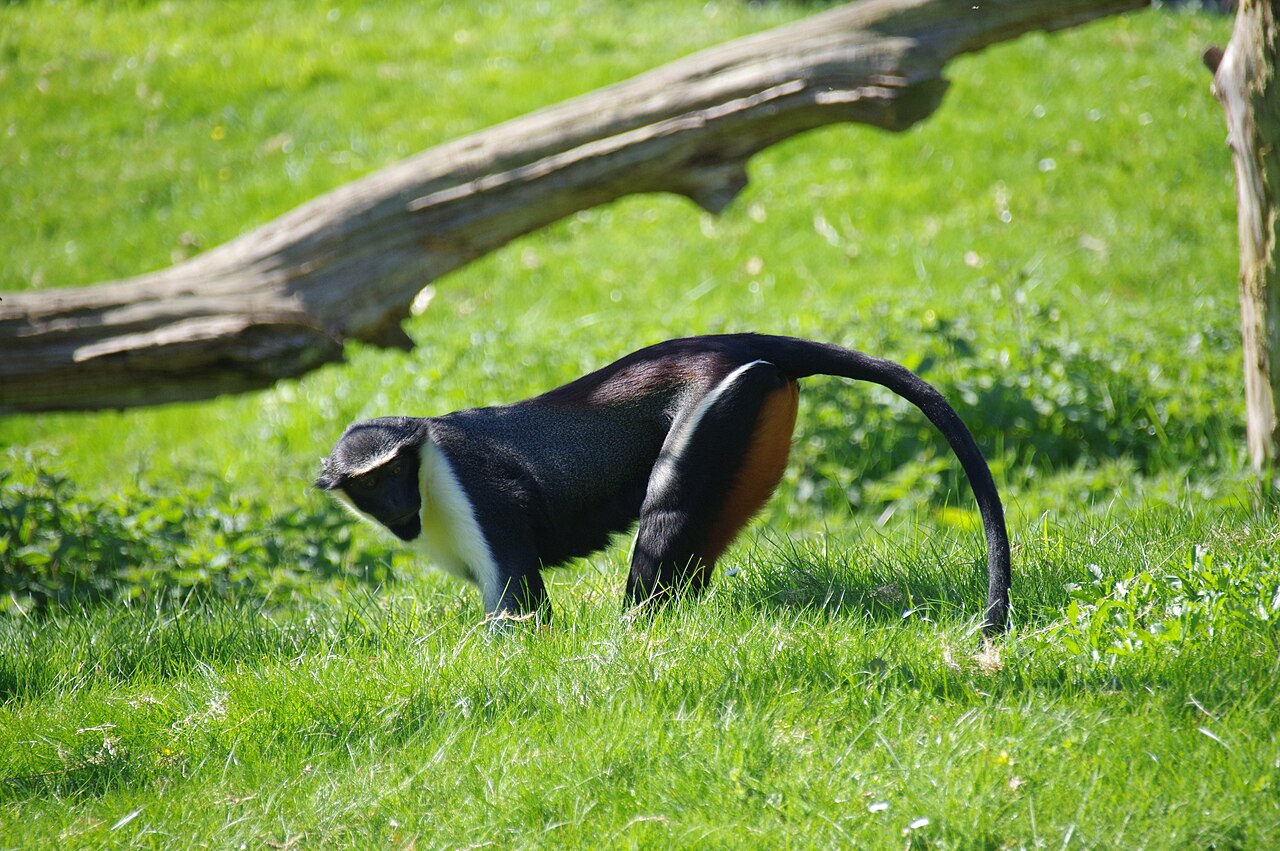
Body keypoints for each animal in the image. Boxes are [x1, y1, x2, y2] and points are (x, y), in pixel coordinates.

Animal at [315, 334, 1012, 633]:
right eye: (370, 484)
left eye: (395, 470)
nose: (398, 505)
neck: (428, 463)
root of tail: (736, 341)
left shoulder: (480, 495)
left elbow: (520, 606)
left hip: (718, 411)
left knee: (667, 513)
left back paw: (633, 634)